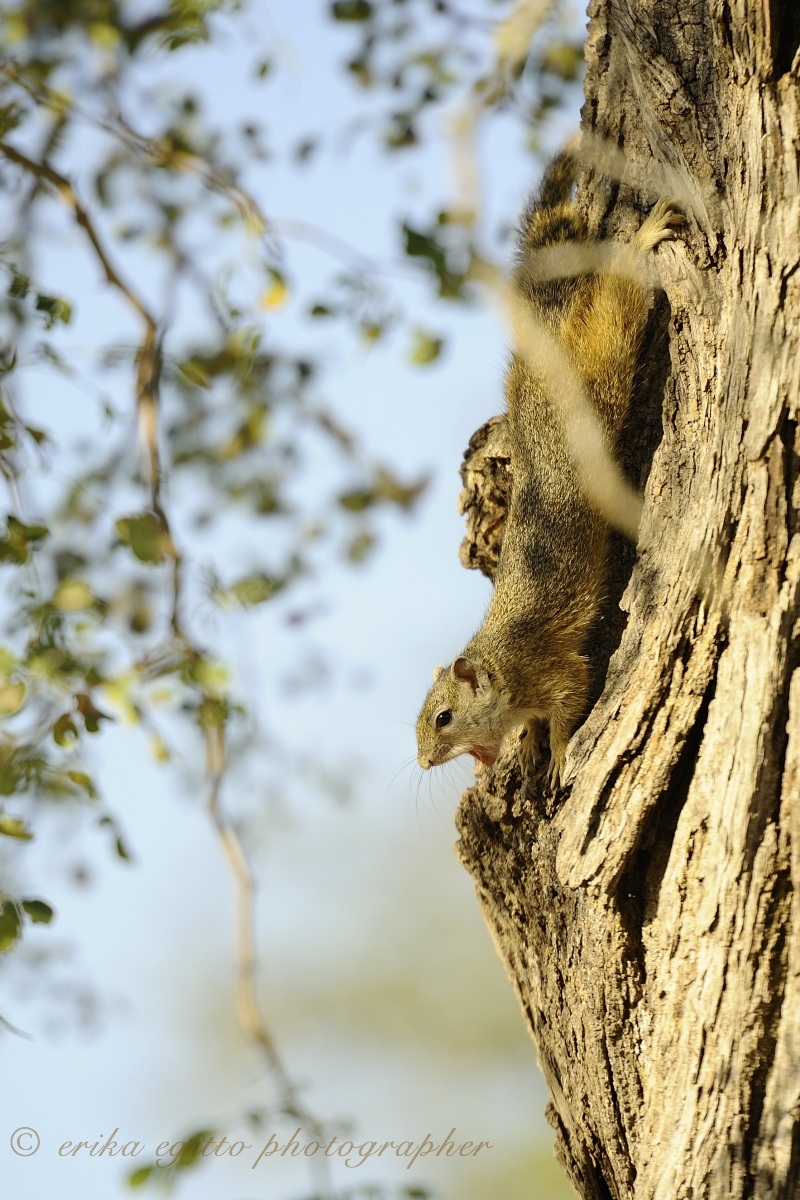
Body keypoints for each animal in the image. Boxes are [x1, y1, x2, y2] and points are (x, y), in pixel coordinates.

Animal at [416, 151, 682, 785]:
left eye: (443, 717)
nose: (423, 761)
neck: (499, 664)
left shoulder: (548, 669)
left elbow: (571, 697)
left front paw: (559, 752)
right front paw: (534, 744)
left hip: (606, 363)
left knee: (620, 299)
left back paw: (644, 237)